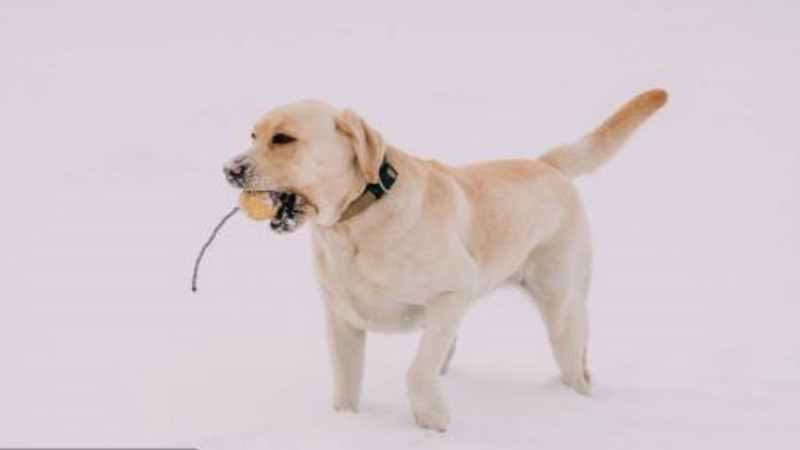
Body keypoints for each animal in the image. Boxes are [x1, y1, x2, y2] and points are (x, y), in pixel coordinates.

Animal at [222, 89, 664, 430]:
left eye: (283, 139)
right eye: (253, 135)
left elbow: (418, 371)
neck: (356, 222)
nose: (229, 170)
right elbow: (346, 386)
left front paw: (432, 420)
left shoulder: (452, 294)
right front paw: (346, 425)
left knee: (577, 371)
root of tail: (546, 164)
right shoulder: (342, 321)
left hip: (563, 312)